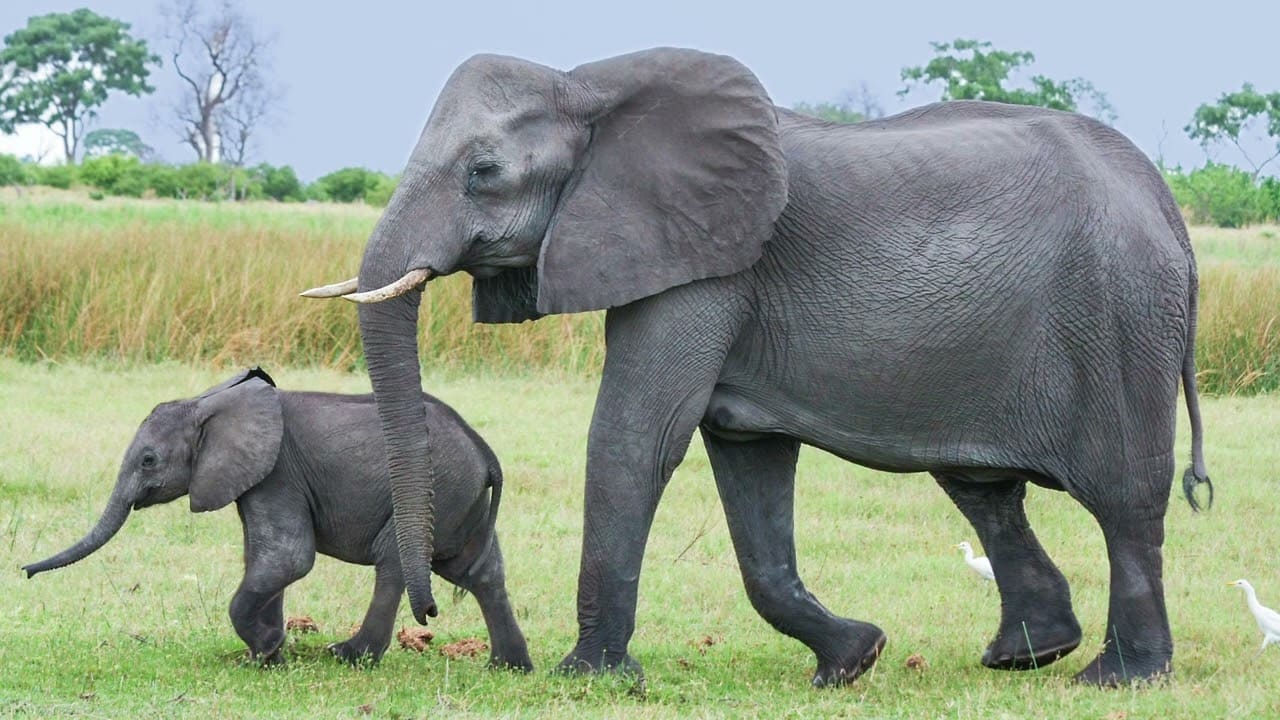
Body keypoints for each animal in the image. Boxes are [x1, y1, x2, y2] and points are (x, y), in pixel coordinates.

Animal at [24, 366, 535, 671]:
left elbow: (288, 558)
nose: (25, 572)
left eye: (148, 460)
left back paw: (348, 656)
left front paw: (267, 649)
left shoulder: (278, 472)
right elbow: (263, 559)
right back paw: (508, 667)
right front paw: (267, 655)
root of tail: (485, 453)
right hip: (460, 500)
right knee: (480, 572)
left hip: (437, 490)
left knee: (393, 562)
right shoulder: (257, 479)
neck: (210, 403)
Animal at [304, 47, 1213, 686]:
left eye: (484, 173)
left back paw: (1117, 679)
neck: (589, 85)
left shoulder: (708, 265)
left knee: (1125, 501)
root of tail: (1168, 206)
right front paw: (854, 659)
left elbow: (639, 435)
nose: (430, 611)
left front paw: (591, 678)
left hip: (1121, 320)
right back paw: (1025, 657)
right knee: (984, 490)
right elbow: (747, 464)